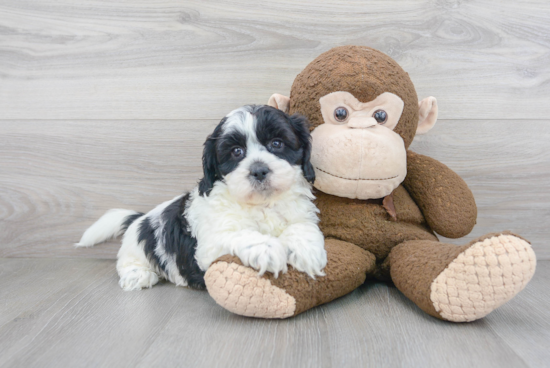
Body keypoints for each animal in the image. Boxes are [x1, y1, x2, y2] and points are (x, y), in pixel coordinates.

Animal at [77, 105, 328, 290]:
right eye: (236, 152)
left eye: (277, 143)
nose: (258, 170)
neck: (262, 203)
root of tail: (140, 218)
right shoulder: (210, 245)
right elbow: (240, 234)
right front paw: (267, 248)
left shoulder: (300, 214)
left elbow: (301, 227)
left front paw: (306, 251)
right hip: (135, 249)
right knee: (128, 261)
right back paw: (137, 275)